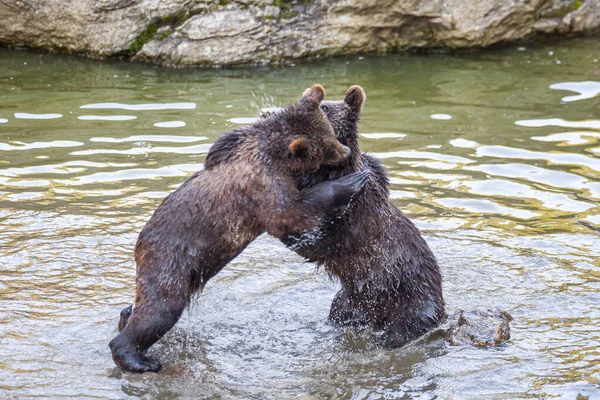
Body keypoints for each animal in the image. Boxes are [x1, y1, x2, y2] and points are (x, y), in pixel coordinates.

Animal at [109, 84, 368, 372]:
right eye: (328, 148)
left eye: (332, 135)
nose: (346, 151)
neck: (271, 152)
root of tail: (140, 244)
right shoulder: (262, 184)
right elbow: (287, 215)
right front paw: (352, 181)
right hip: (171, 259)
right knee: (162, 308)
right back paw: (139, 359)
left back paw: (125, 317)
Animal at [282, 85, 446, 346]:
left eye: (324, 107)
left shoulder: (351, 217)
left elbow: (318, 237)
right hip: (350, 301)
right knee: (340, 312)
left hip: (410, 297)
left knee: (403, 329)